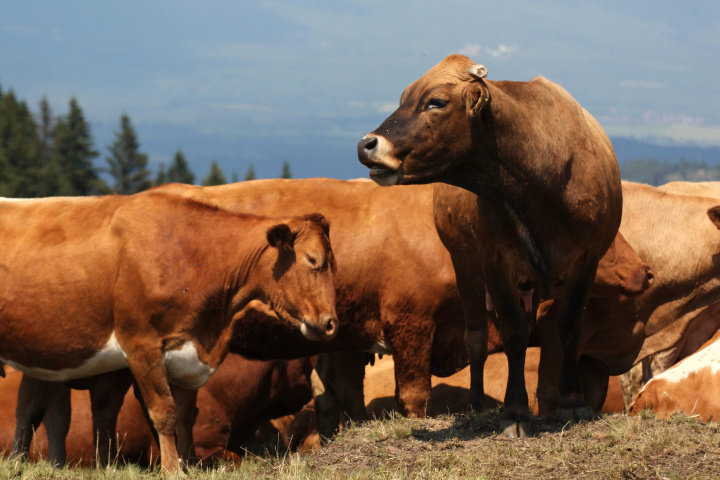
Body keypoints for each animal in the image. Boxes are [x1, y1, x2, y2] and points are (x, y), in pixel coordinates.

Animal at [358, 53, 620, 436]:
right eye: (404, 98)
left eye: (436, 102)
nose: (366, 145)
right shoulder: (494, 260)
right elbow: (513, 332)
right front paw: (515, 411)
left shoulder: (587, 258)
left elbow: (569, 326)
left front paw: (572, 401)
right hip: (464, 264)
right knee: (477, 339)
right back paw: (479, 403)